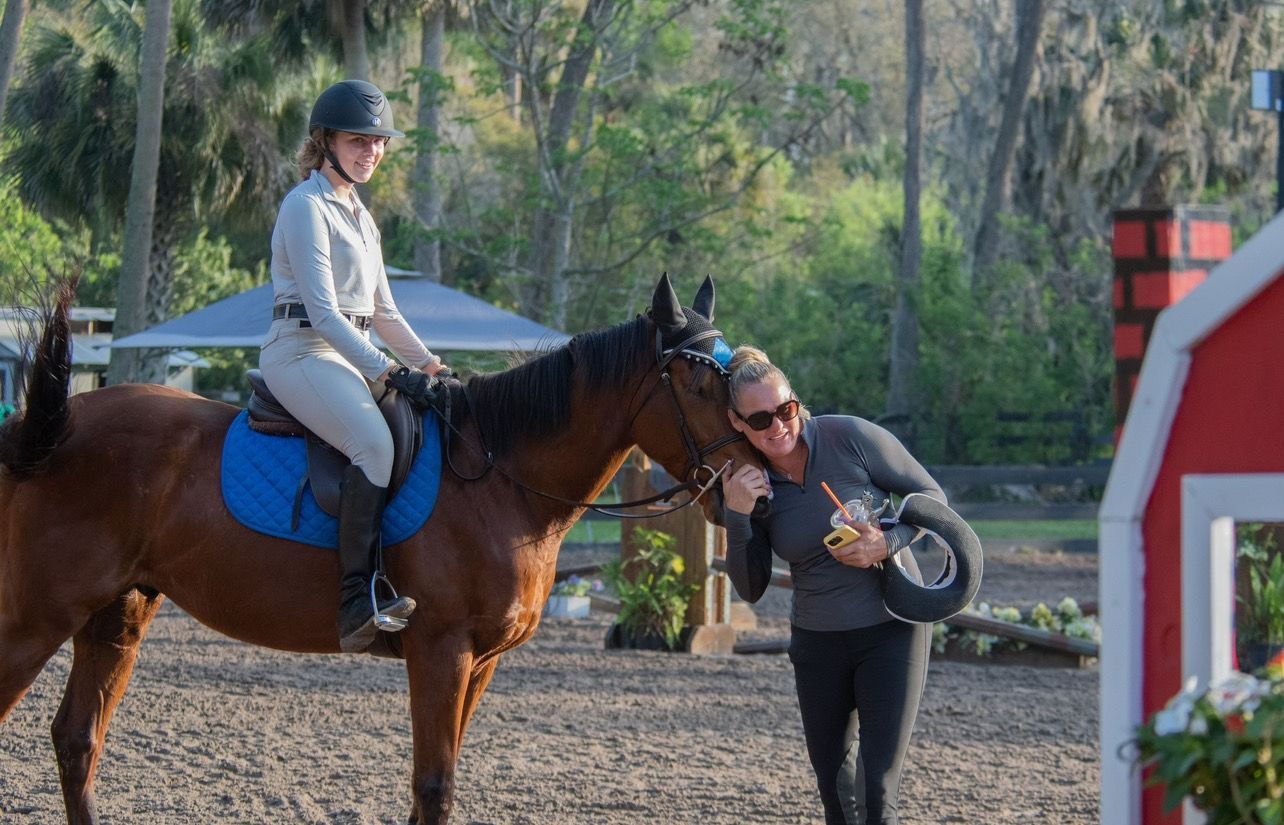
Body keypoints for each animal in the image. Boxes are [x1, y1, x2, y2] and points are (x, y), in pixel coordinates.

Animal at [0, 274, 761, 824]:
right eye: (700, 382)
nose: (753, 481)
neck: (497, 478)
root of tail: (57, 426)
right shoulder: (441, 649)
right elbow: (434, 786)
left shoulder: (480, 662)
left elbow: (436, 785)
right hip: (37, 618)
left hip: (116, 617)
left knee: (77, 740)